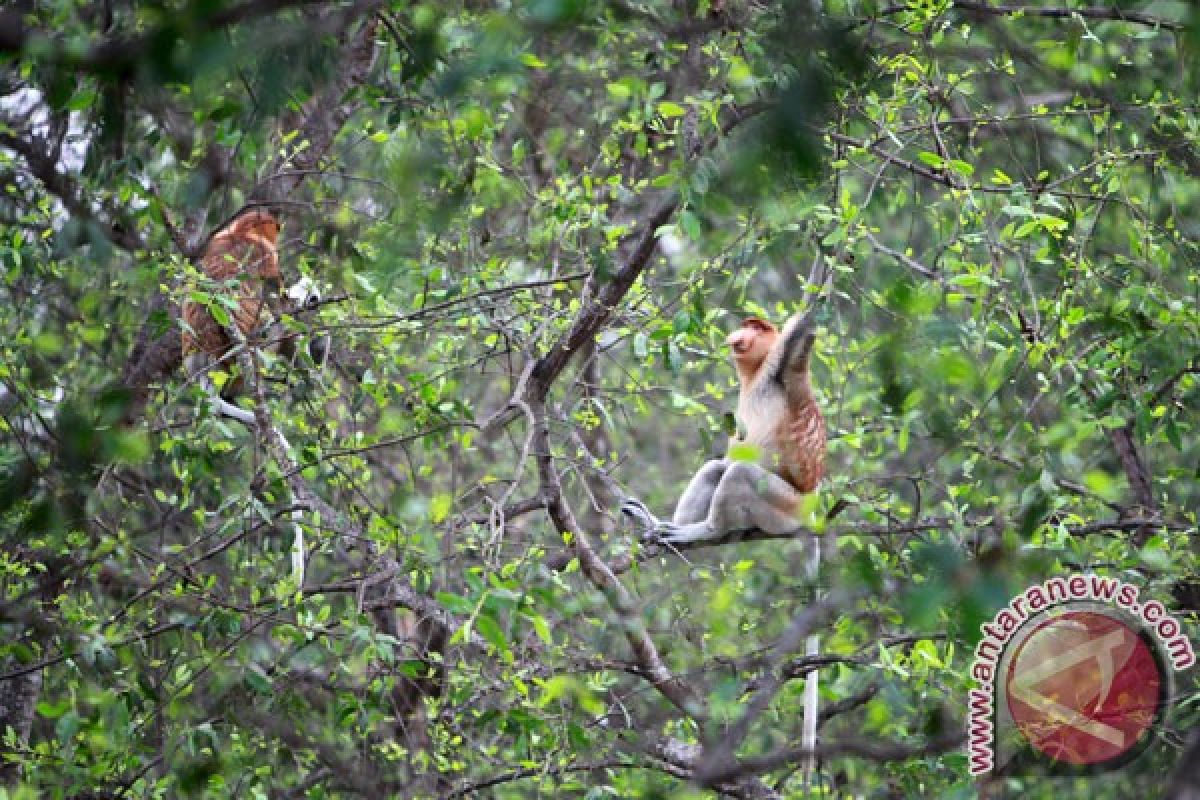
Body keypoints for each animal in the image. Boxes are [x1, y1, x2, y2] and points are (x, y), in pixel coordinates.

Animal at [619, 311, 825, 544]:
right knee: (715, 468)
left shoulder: (782, 366)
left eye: (757, 328)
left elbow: (802, 335)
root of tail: (810, 515)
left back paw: (707, 530)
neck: (755, 375)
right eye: (747, 325)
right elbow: (721, 465)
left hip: (788, 508)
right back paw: (656, 524)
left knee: (739, 472)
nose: (740, 335)